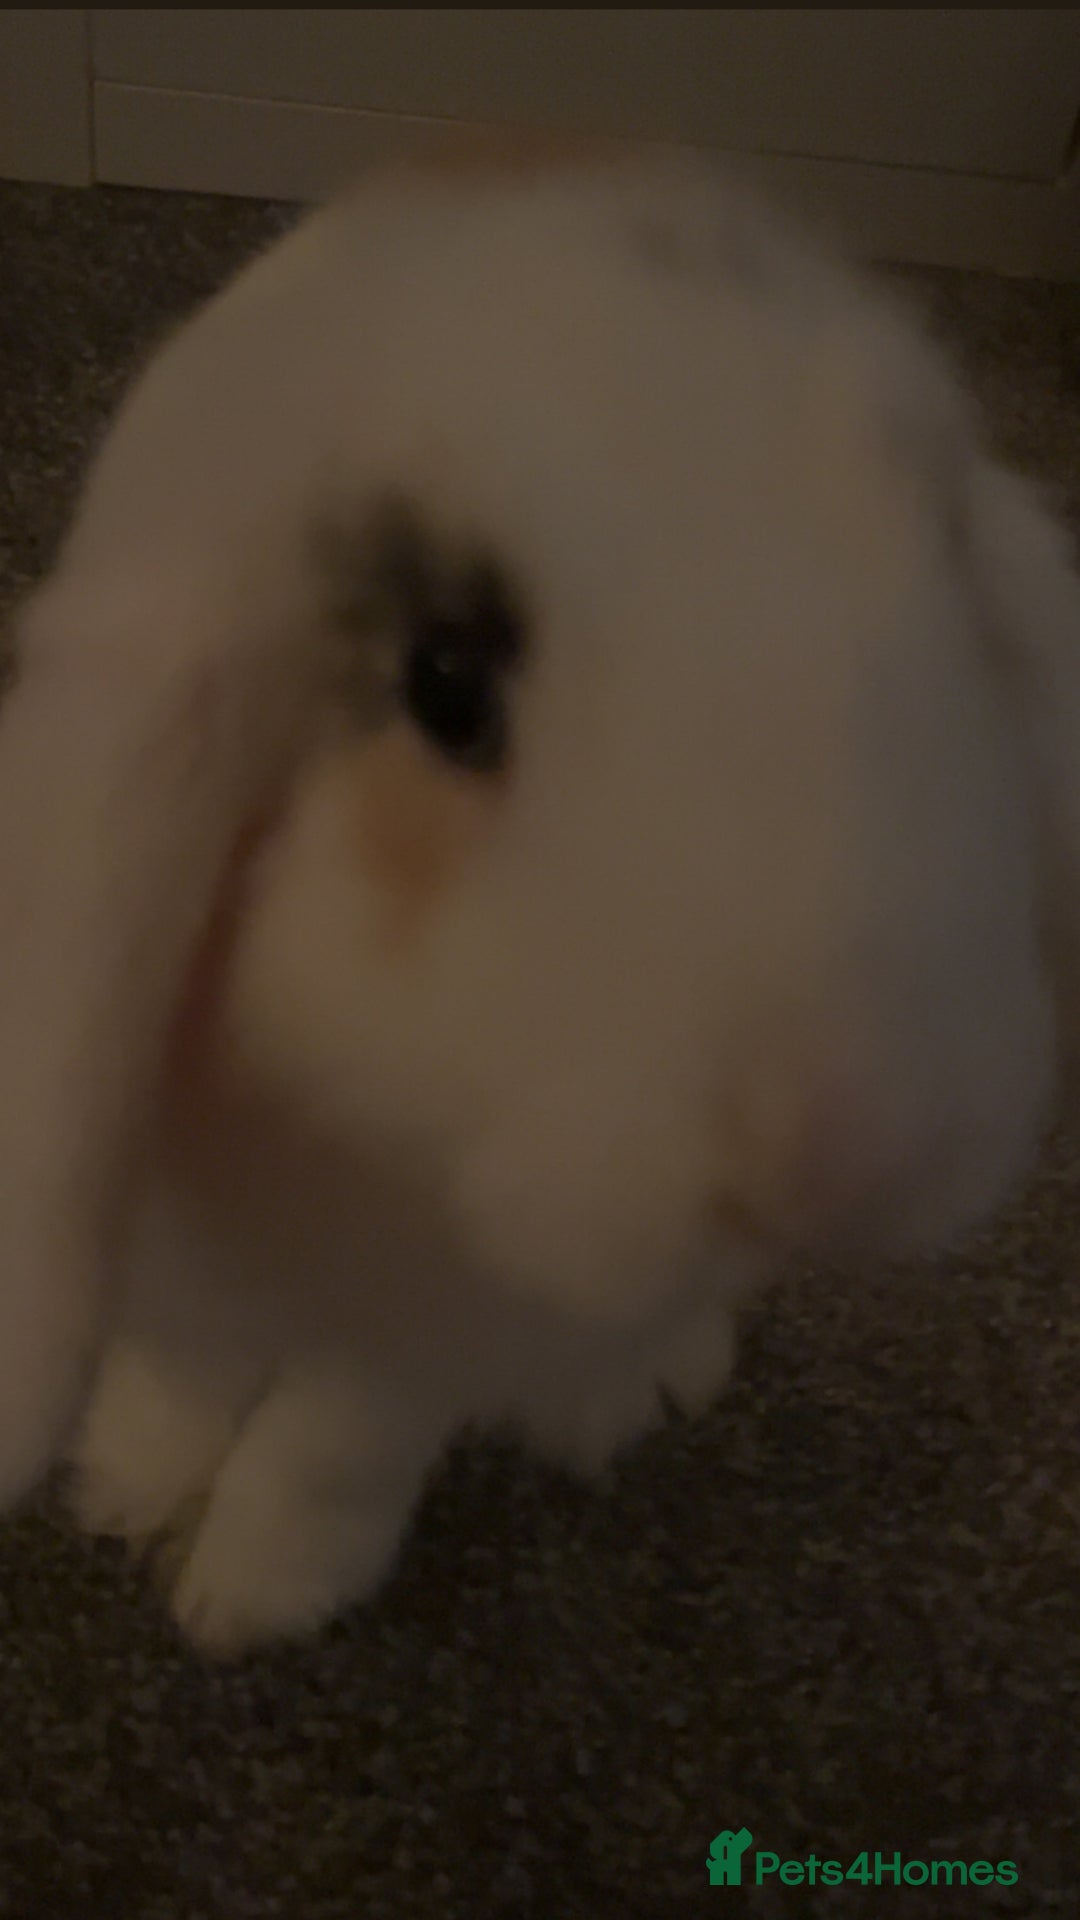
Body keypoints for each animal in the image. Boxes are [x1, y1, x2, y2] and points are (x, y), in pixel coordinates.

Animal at [0, 139, 1078, 1652]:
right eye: (446, 680)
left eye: (956, 579)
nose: (843, 1153)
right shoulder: (175, 1244)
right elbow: (183, 1369)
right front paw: (126, 1485)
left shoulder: (434, 1333)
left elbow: (336, 1445)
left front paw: (248, 1601)